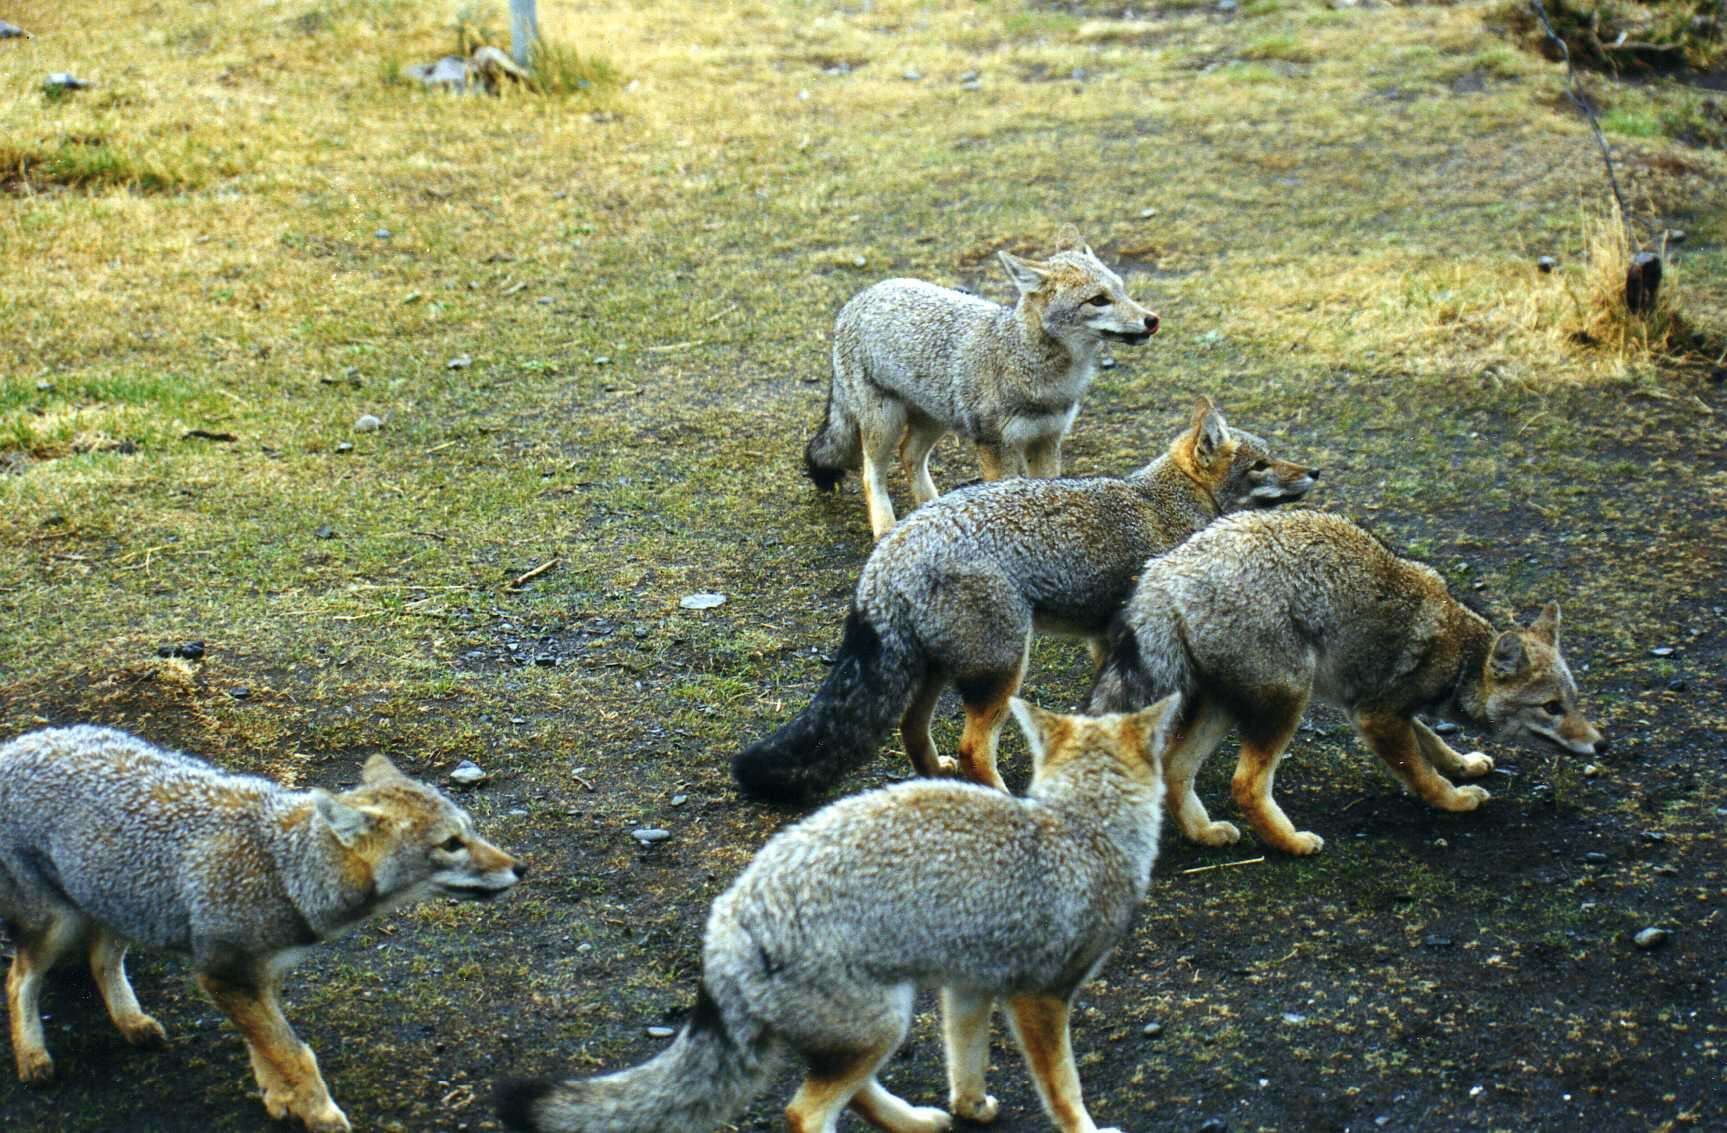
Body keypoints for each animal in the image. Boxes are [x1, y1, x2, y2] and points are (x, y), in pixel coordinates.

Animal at [1, 725, 525, 1133]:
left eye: (470, 831)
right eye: (451, 844)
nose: (521, 867)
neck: (283, 868)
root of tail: (17, 742)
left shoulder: (261, 973)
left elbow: (265, 1044)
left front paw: (279, 1097)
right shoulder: (222, 973)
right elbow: (290, 1051)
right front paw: (320, 1112)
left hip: (120, 903)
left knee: (100, 960)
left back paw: (131, 1022)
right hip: (59, 923)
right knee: (19, 977)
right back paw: (32, 1057)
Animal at [493, 690, 1181, 1133]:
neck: (1082, 827)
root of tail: (729, 919)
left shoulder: (969, 985)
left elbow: (965, 1058)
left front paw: (970, 1105)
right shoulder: (1040, 998)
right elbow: (1064, 1089)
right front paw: (1085, 1129)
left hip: (876, 1024)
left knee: (851, 1095)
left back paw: (917, 1122)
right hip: (885, 1021)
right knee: (805, 1113)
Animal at [797, 227, 1153, 538]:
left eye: (1122, 290)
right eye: (1098, 300)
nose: (1152, 319)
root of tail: (859, 297)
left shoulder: (1046, 439)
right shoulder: (994, 446)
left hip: (936, 417)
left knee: (909, 454)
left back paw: (931, 509)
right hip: (884, 423)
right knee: (871, 475)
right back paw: (886, 529)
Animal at [1091, 507, 1602, 853]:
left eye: (1575, 701)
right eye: (1551, 708)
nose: (1601, 743)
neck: (1459, 652)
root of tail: (1163, 573)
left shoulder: (1380, 708)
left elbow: (1433, 741)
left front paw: (1463, 764)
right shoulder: (1377, 715)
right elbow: (1420, 770)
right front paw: (1453, 799)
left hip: (1223, 704)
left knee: (1176, 766)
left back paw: (1203, 833)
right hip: (1285, 700)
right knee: (1246, 783)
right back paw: (1291, 843)